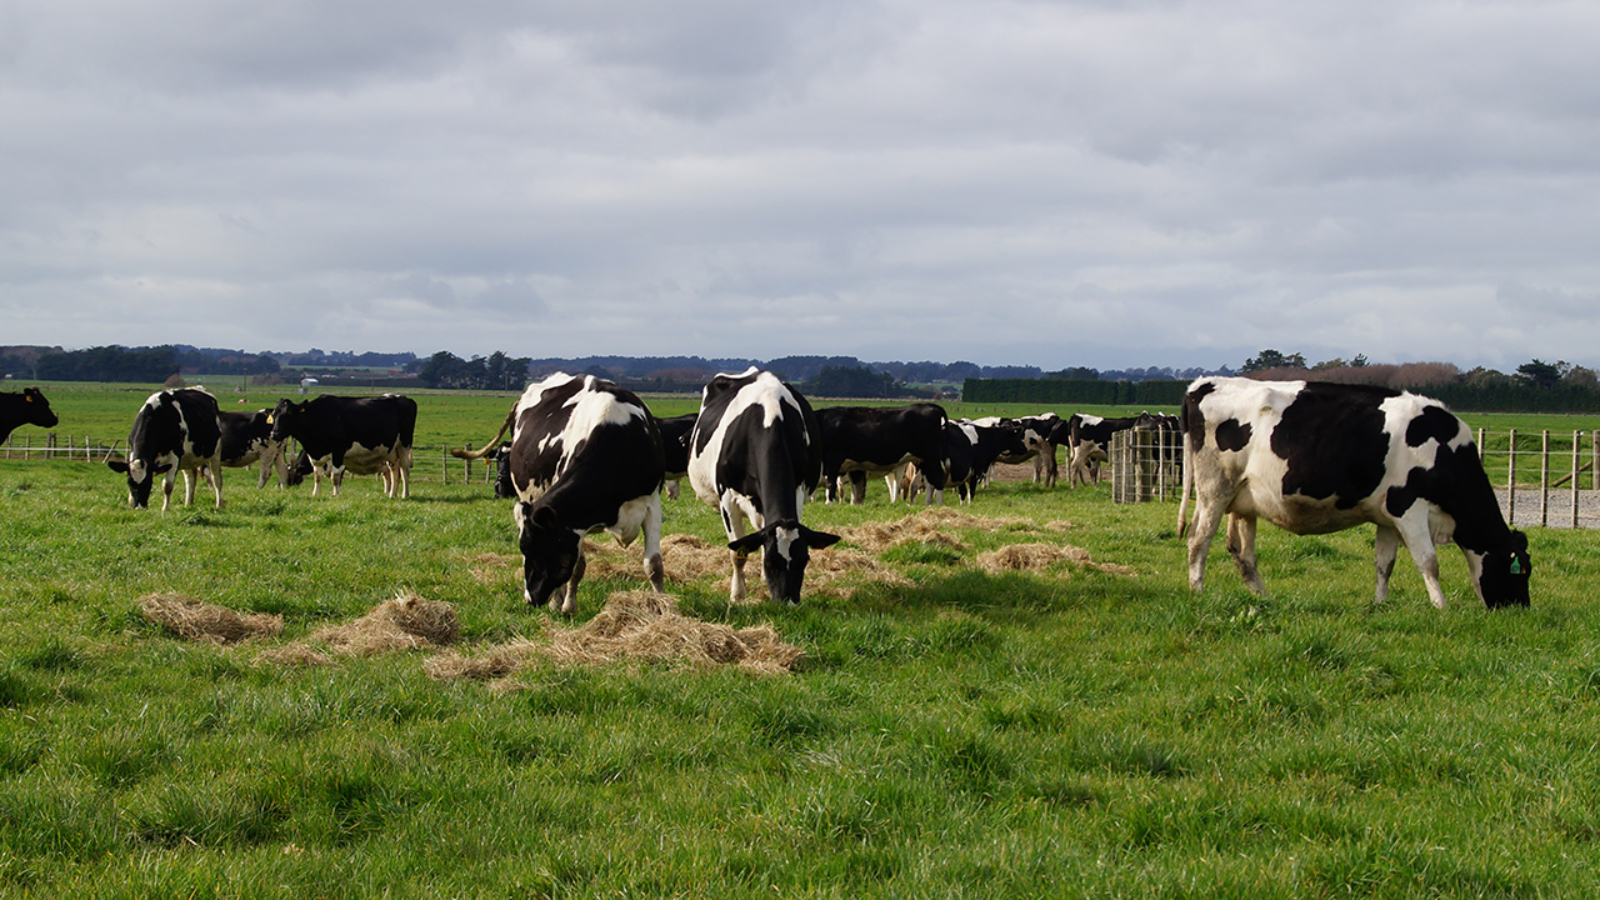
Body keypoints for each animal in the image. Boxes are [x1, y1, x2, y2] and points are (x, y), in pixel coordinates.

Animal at [267, 394, 417, 498]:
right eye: (274, 414)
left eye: (288, 414)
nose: (274, 433)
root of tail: (404, 398)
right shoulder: (315, 455)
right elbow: (317, 477)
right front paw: (316, 494)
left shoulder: (338, 452)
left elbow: (335, 477)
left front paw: (335, 495)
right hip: (391, 452)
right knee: (394, 472)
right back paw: (392, 495)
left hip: (404, 445)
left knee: (405, 470)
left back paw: (405, 494)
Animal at [451, 373, 665, 613]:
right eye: (523, 550)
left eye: (537, 548)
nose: (530, 598)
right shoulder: (575, 521)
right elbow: (578, 567)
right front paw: (568, 606)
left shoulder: (652, 503)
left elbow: (654, 565)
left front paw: (662, 605)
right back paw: (556, 601)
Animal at [688, 368, 840, 605]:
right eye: (770, 561)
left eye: (804, 560)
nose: (788, 603)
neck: (770, 418)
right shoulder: (727, 500)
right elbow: (737, 553)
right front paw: (737, 595)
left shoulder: (798, 492)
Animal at [817, 404, 950, 505]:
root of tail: (931, 406)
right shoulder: (854, 466)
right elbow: (857, 489)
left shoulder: (833, 460)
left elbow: (831, 483)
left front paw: (829, 503)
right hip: (923, 460)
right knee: (930, 481)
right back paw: (928, 504)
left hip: (931, 457)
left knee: (938, 478)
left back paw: (938, 504)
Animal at [1179, 377, 1532, 609]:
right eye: (1522, 572)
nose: (1521, 609)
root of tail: (1203, 384)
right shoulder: (1409, 507)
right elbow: (1429, 562)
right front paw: (1441, 607)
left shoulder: (1388, 516)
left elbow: (1385, 563)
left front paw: (1381, 604)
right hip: (1214, 489)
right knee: (1198, 539)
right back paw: (1197, 592)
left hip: (1244, 500)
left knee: (1242, 552)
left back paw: (1264, 598)